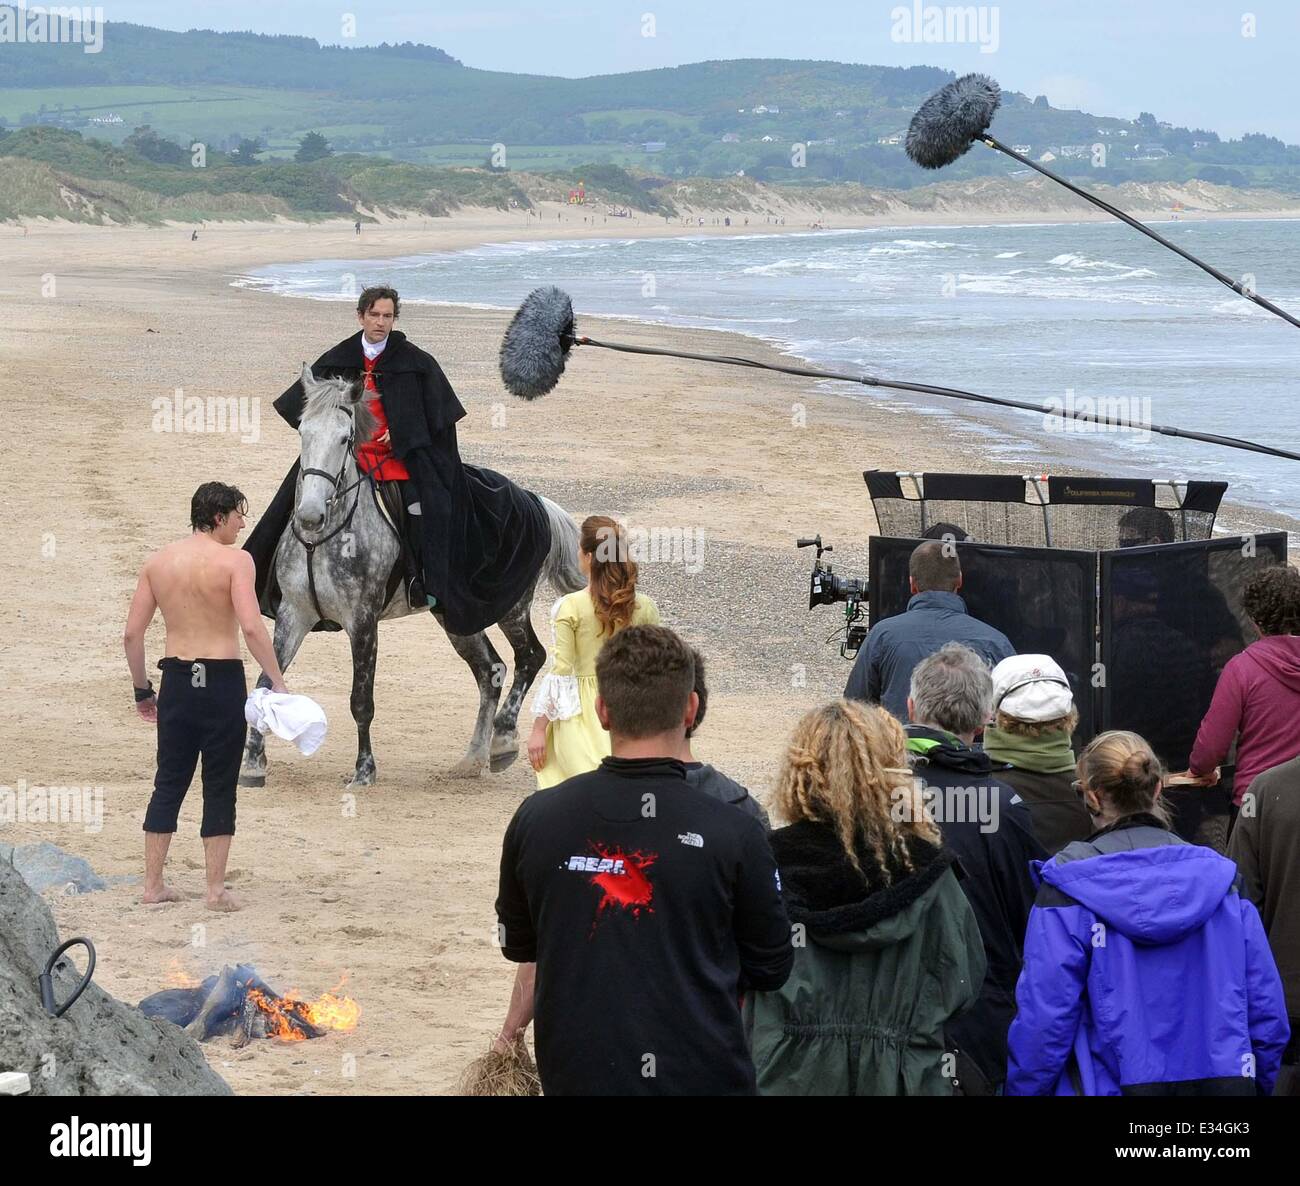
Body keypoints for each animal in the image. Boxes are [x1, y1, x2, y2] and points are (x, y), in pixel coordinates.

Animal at [240, 361, 585, 785]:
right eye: (304, 432)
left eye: (344, 438)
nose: (309, 516)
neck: (322, 540)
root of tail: (533, 499)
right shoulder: (294, 614)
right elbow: (265, 684)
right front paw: (253, 763)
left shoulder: (362, 621)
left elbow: (361, 700)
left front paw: (364, 770)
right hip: (457, 616)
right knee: (490, 669)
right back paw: (472, 758)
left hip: (511, 607)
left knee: (529, 657)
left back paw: (503, 741)